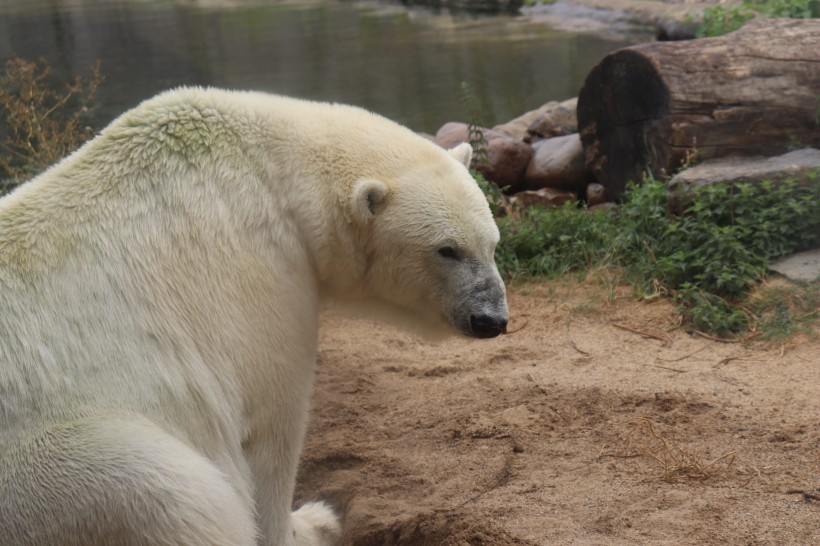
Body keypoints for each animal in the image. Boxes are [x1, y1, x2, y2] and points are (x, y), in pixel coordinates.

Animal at [0, 87, 510, 540]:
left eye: (492, 243)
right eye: (447, 250)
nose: (491, 319)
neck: (269, 169)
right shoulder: (261, 279)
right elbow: (270, 432)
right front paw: (313, 523)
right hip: (66, 471)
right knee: (174, 495)